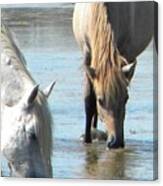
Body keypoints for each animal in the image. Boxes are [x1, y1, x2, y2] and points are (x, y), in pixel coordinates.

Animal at [73, 1, 157, 148]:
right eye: (101, 100)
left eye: (126, 98)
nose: (115, 142)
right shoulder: (87, 54)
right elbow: (89, 100)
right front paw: (87, 139)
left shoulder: (124, 52)